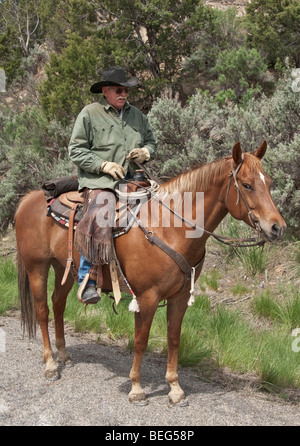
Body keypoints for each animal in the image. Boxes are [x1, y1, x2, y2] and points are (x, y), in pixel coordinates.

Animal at [14, 142, 286, 404]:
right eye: (247, 185)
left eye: (269, 182)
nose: (277, 228)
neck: (170, 228)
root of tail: (28, 198)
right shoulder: (146, 297)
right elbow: (140, 340)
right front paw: (136, 388)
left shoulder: (178, 297)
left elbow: (173, 338)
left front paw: (175, 388)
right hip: (37, 266)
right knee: (43, 310)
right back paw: (51, 363)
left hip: (64, 268)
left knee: (58, 305)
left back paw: (64, 355)